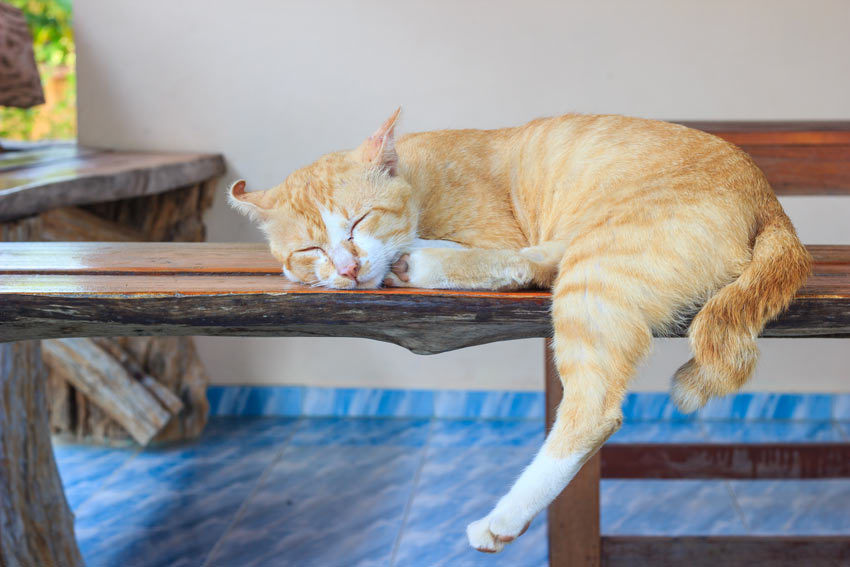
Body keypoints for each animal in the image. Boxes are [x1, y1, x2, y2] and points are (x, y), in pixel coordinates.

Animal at [225, 108, 808, 552]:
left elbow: (503, 256)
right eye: (310, 248)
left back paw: (502, 519)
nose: (347, 269)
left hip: (597, 266)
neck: (416, 181)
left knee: (590, 404)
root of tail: (770, 201)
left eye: (359, 220)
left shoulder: (498, 234)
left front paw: (409, 256)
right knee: (541, 266)